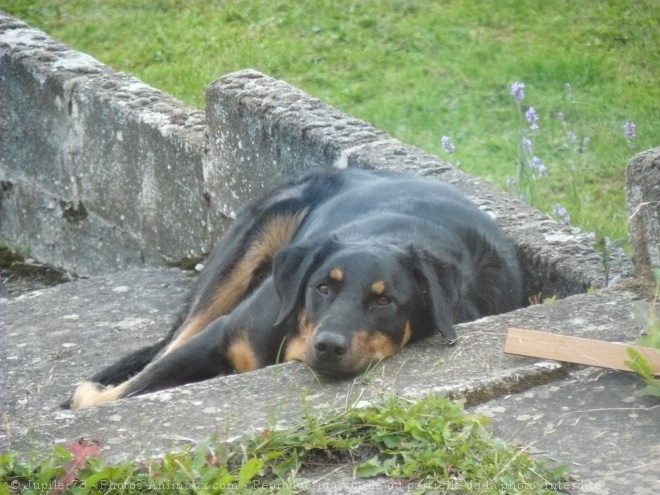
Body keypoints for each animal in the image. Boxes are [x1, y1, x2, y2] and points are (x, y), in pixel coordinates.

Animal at [65, 169, 520, 408]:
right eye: (322, 288)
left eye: (384, 300)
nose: (330, 346)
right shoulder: (222, 334)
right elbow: (130, 388)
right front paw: (87, 397)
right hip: (245, 251)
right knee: (169, 344)